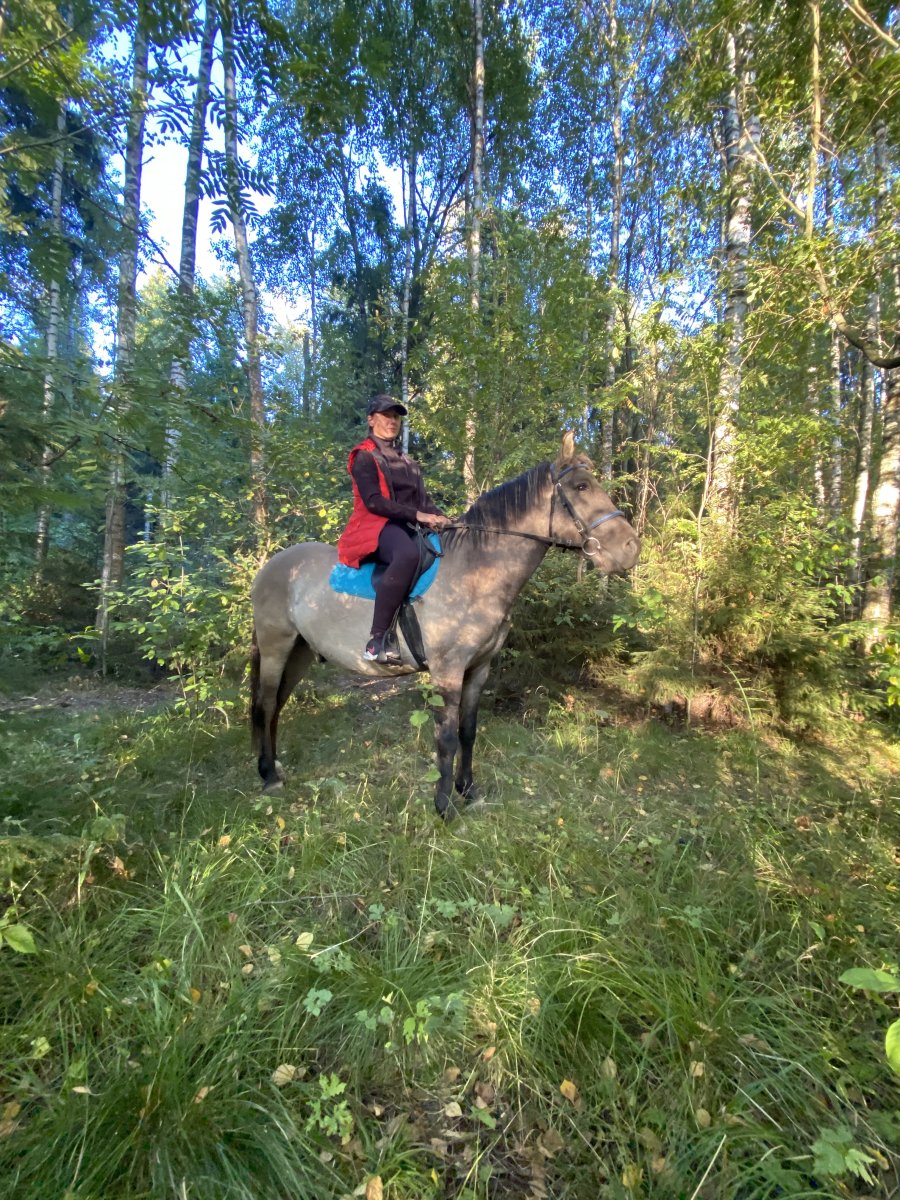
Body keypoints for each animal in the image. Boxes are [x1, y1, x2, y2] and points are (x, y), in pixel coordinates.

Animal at [250, 432, 641, 819]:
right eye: (581, 486)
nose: (631, 548)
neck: (474, 571)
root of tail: (270, 567)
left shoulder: (479, 668)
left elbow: (468, 731)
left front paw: (468, 790)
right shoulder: (447, 671)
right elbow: (447, 738)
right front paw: (443, 805)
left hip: (301, 651)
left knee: (278, 704)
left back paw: (275, 766)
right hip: (276, 646)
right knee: (266, 704)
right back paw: (268, 776)